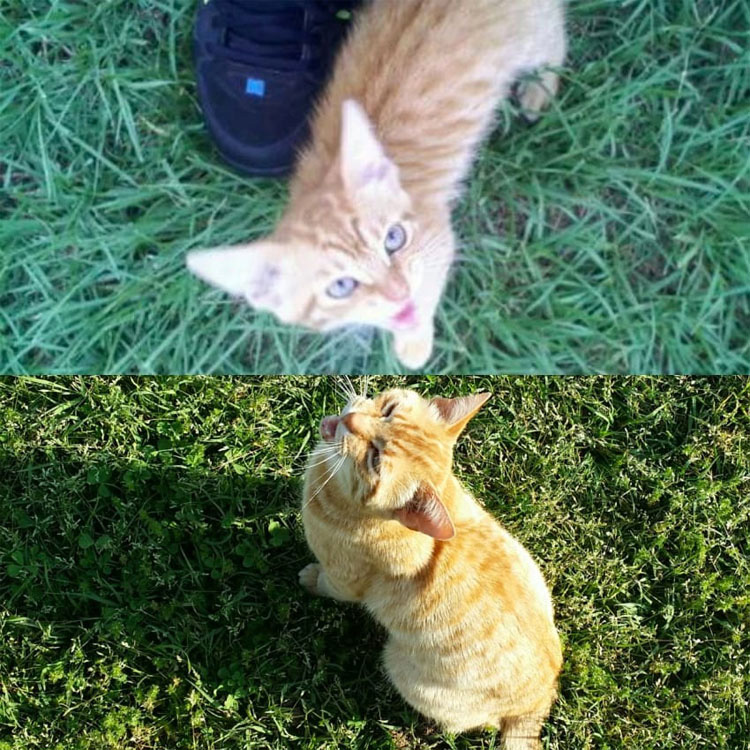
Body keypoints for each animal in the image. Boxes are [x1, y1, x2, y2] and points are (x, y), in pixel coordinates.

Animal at [187, 0, 564, 370]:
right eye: (341, 286)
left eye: (394, 239)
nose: (397, 291)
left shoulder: (437, 239)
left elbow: (427, 288)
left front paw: (414, 343)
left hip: (532, 35)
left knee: (555, 35)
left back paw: (540, 87)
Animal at [300, 388, 564, 748]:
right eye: (388, 409)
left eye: (375, 459)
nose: (351, 420)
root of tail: (539, 699)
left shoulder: (344, 580)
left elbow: (327, 584)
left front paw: (310, 578)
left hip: (402, 670)